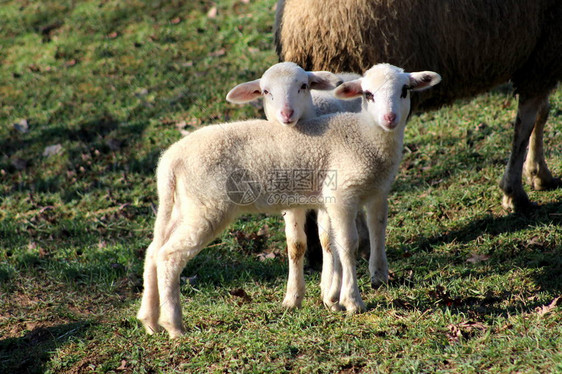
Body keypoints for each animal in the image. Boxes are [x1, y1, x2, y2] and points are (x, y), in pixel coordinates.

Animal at [135, 62, 438, 338]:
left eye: (405, 90)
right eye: (368, 94)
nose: (390, 118)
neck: (365, 136)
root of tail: (171, 160)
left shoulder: (370, 192)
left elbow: (363, 232)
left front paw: (343, 292)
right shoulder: (341, 196)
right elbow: (346, 245)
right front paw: (352, 302)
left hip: (184, 204)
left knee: (153, 251)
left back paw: (149, 320)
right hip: (207, 205)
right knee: (169, 256)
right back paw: (174, 326)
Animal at [274, 0, 556, 213]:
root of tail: (296, 25)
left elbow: (541, 113)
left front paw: (538, 174)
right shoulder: (545, 52)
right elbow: (525, 124)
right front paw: (515, 193)